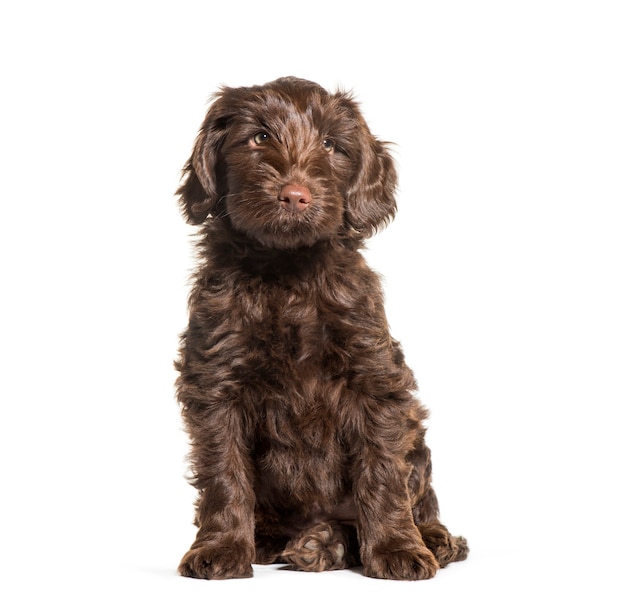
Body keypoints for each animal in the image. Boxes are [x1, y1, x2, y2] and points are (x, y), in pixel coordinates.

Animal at [173, 76, 466, 580]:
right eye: (259, 137)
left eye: (331, 145)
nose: (295, 195)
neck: (289, 270)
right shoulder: (215, 380)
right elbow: (223, 472)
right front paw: (223, 547)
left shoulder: (375, 380)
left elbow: (382, 472)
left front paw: (397, 548)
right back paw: (295, 542)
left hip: (417, 439)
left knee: (416, 498)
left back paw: (413, 539)